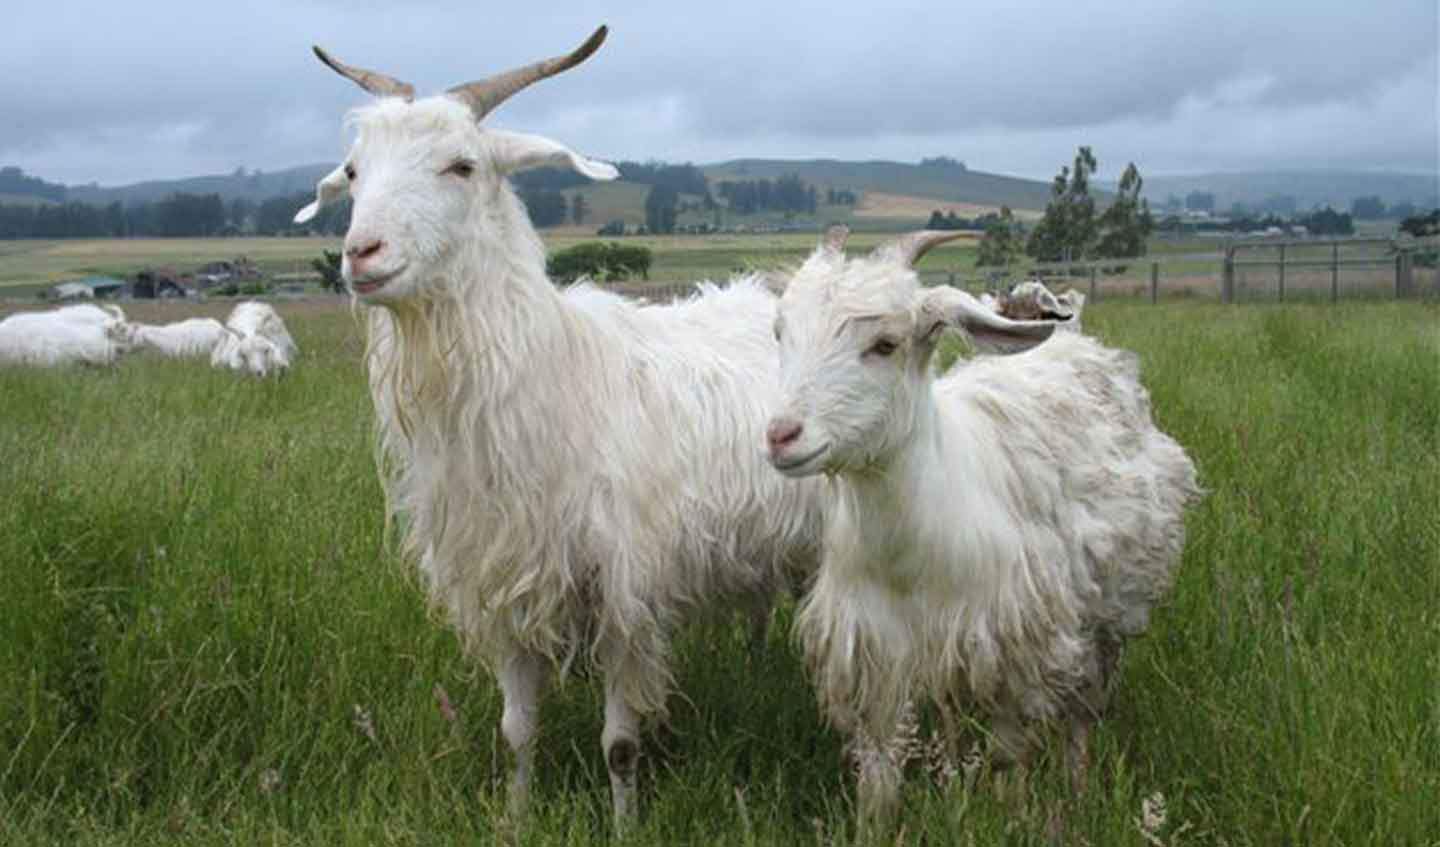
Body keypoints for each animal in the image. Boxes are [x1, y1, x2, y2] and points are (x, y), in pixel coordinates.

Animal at [300, 24, 823, 829]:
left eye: (463, 165)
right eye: (354, 172)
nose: (362, 255)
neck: (558, 380)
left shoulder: (624, 596)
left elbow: (619, 745)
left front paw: (626, 825)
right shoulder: (508, 582)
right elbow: (514, 730)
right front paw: (514, 818)